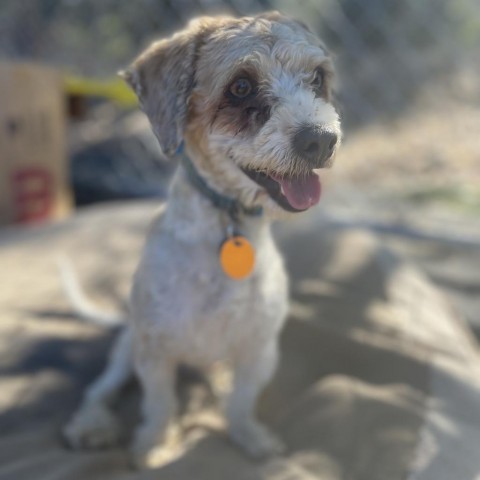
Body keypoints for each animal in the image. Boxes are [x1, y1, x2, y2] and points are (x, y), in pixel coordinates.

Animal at [63, 11, 342, 468]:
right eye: (241, 86)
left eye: (317, 78)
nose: (320, 139)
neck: (227, 226)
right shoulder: (153, 351)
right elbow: (159, 404)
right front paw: (154, 445)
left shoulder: (259, 349)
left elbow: (242, 402)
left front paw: (250, 437)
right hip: (125, 347)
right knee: (97, 391)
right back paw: (91, 426)